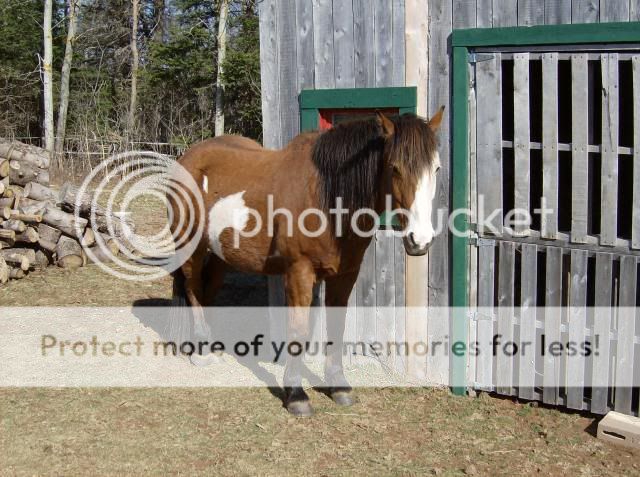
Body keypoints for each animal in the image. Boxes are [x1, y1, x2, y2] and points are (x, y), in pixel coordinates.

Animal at [168, 108, 442, 412]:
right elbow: (297, 331)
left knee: (208, 289)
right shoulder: (299, 272)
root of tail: (186, 158)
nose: (420, 240)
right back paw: (201, 351)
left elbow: (337, 326)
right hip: (191, 248)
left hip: (222, 254)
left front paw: (338, 386)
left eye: (436, 169)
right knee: (193, 289)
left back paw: (211, 345)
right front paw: (296, 395)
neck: (325, 198)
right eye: (394, 167)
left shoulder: (345, 274)